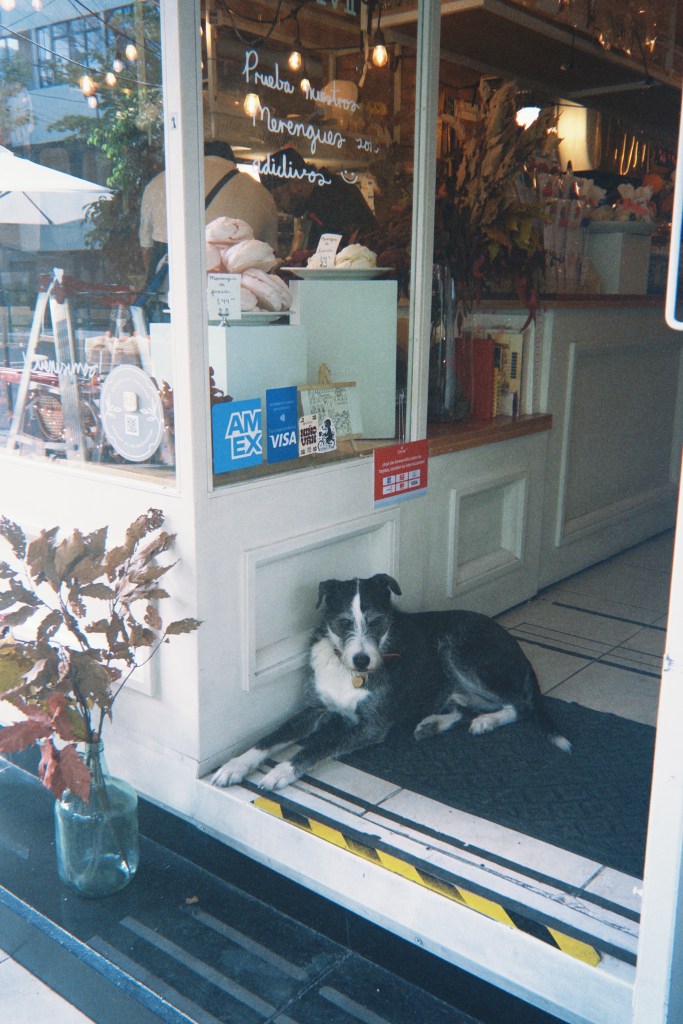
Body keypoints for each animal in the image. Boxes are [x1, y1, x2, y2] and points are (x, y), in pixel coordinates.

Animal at [211, 574, 571, 792]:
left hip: (456, 649)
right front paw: (235, 765)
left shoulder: (372, 725)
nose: (362, 660)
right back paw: (433, 723)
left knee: (521, 705)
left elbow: (317, 745)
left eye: (377, 621)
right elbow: (269, 738)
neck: (347, 670)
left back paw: (486, 721)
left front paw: (281, 771)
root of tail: (515, 645)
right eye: (343, 622)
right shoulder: (312, 710)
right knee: (462, 705)